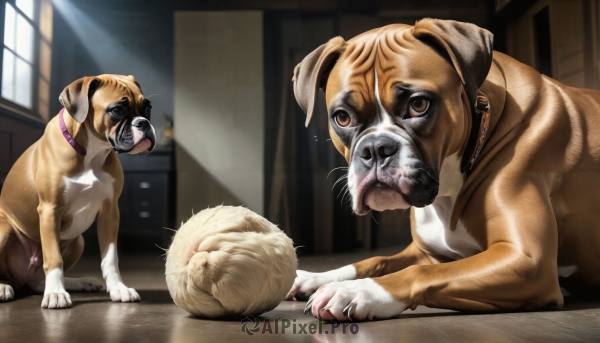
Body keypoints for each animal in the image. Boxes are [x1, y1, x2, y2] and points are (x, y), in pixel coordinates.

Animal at [0, 74, 157, 310]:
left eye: (147, 108)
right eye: (117, 110)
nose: (144, 123)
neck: (91, 152)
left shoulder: (110, 213)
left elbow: (110, 258)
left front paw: (118, 289)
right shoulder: (50, 210)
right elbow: (53, 258)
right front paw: (56, 294)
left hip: (79, 241)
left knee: (39, 282)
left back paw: (80, 282)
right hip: (4, 229)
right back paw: (4, 286)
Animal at [284, 19, 600, 322]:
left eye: (418, 104)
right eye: (342, 118)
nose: (375, 149)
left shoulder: (527, 259)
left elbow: (417, 273)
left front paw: (356, 291)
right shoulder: (426, 252)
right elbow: (374, 261)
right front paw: (316, 277)